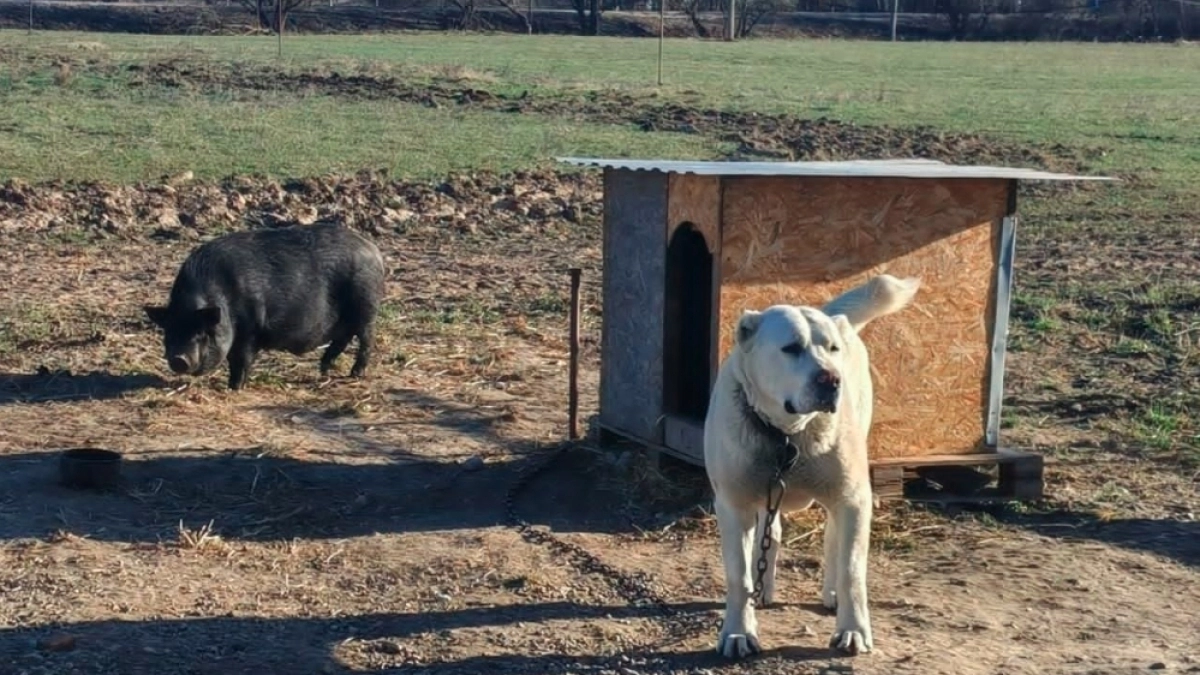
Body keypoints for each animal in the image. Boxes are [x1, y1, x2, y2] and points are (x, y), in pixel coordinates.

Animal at [144, 222, 386, 391]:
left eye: (201, 332)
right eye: (170, 331)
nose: (179, 358)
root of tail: (374, 251)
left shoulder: (250, 330)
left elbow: (241, 361)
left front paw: (234, 388)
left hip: (366, 307)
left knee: (366, 339)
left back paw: (355, 374)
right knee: (342, 339)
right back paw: (323, 371)